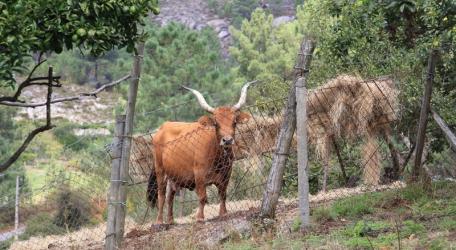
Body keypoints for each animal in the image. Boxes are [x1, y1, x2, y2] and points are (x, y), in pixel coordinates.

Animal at [149, 82, 253, 225]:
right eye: (216, 123)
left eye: (234, 122)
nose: (227, 140)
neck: (217, 156)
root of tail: (163, 127)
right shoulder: (199, 175)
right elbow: (203, 197)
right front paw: (200, 217)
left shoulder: (226, 174)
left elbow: (223, 194)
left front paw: (223, 213)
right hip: (160, 170)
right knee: (161, 195)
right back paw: (159, 221)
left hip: (173, 175)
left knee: (170, 195)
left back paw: (170, 220)